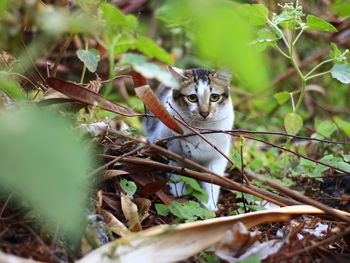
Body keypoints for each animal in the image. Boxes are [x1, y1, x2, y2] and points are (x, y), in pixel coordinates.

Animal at [144, 67, 234, 211]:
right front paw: (179, 193)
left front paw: (210, 205)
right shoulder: (172, 152)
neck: (201, 129)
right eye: (192, 98)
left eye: (214, 97)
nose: (204, 113)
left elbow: (212, 183)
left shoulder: (218, 158)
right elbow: (177, 176)